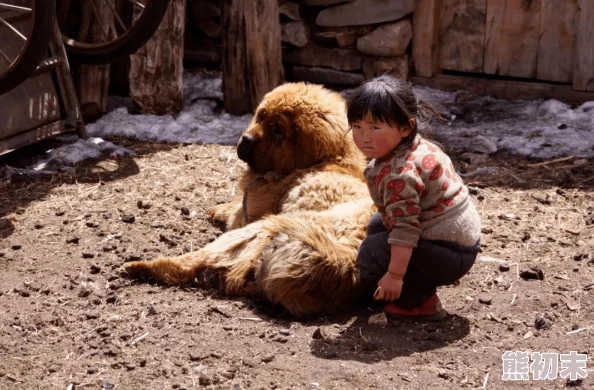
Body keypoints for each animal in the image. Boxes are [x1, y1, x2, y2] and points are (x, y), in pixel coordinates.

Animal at [124, 82, 372, 316]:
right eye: (260, 116)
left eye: (277, 130)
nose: (245, 139)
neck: (326, 160)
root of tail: (344, 259)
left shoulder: (247, 213)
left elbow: (234, 210)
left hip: (259, 228)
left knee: (192, 264)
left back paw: (140, 267)